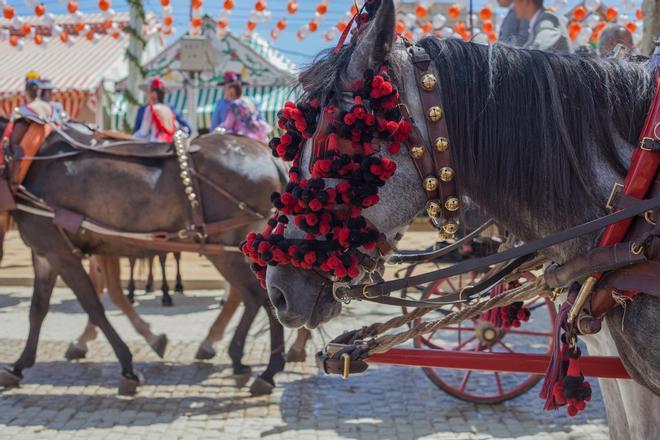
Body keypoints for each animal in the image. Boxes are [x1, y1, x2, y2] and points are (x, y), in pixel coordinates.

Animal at [0, 122, 288, 398]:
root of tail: (267, 155)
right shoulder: (45, 254)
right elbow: (38, 309)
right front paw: (18, 365)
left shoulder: (60, 253)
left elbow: (93, 305)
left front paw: (128, 367)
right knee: (256, 298)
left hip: (227, 251)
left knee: (257, 297)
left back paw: (262, 368)